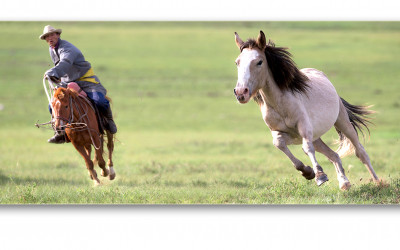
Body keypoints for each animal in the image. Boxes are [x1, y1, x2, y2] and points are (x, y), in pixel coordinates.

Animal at [233, 30, 380, 190]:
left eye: (259, 62)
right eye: (237, 62)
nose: (241, 92)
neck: (280, 104)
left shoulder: (304, 128)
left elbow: (307, 148)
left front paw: (320, 176)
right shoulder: (282, 133)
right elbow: (279, 144)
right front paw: (307, 172)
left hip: (342, 122)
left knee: (360, 152)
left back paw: (379, 182)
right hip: (317, 137)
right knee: (334, 155)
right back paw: (344, 183)